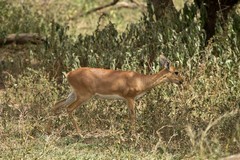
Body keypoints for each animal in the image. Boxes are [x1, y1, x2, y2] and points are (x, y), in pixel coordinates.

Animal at [46, 54, 182, 135]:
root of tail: (68, 74)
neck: (141, 81)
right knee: (69, 108)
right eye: (176, 72)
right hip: (84, 95)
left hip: (74, 93)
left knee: (56, 104)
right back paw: (80, 134)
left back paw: (49, 130)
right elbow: (133, 115)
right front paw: (134, 135)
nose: (182, 81)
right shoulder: (129, 97)